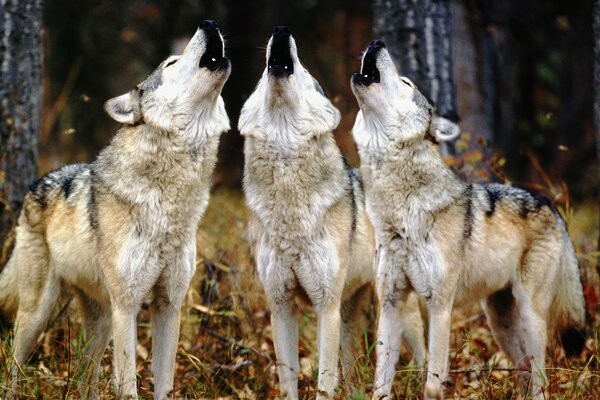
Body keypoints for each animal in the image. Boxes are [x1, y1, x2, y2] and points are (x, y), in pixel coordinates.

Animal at [0, 21, 230, 400]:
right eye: (171, 62)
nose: (209, 24)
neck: (169, 204)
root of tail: (37, 182)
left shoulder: (169, 305)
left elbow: (164, 384)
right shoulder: (128, 307)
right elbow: (128, 386)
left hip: (101, 320)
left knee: (86, 378)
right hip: (40, 312)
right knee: (14, 362)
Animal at [239, 27, 426, 400]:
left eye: (306, 71)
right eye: (260, 77)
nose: (281, 30)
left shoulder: (326, 307)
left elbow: (324, 382)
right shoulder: (281, 307)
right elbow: (288, 381)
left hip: (393, 307)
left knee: (423, 354)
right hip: (350, 311)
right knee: (352, 370)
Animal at [352, 39, 584, 400]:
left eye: (406, 82)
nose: (377, 42)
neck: (400, 215)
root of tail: (549, 204)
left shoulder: (440, 306)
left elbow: (433, 383)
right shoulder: (391, 302)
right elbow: (381, 382)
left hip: (531, 316)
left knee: (540, 378)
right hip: (499, 322)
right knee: (523, 370)